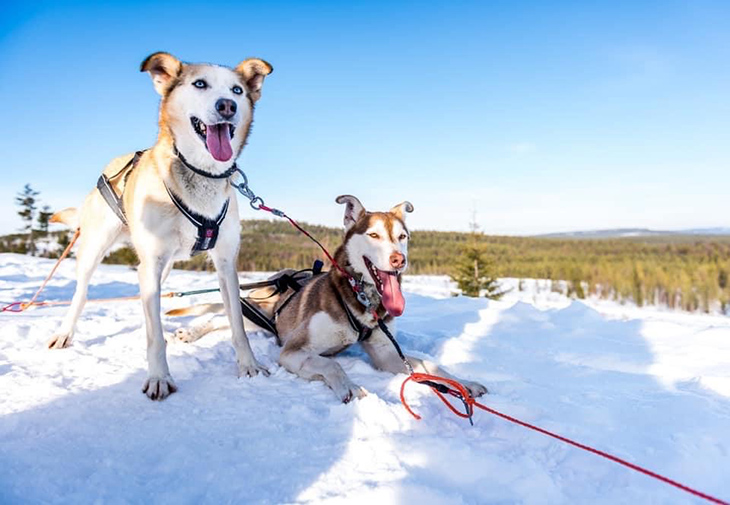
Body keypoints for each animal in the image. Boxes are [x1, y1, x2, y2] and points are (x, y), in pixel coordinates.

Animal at [47, 50, 272, 398]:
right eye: (200, 84)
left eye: (237, 90)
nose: (227, 106)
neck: (199, 176)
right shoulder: (150, 263)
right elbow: (155, 338)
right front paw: (159, 377)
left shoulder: (225, 263)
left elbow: (237, 322)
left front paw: (248, 366)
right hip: (96, 249)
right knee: (82, 293)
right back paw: (65, 332)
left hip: (163, 265)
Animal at [165, 194, 484, 402]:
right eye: (374, 235)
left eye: (402, 236)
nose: (398, 260)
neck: (360, 299)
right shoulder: (292, 351)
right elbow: (333, 364)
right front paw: (351, 388)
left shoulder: (384, 353)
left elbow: (430, 366)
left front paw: (463, 383)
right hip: (260, 313)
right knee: (222, 316)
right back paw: (187, 333)